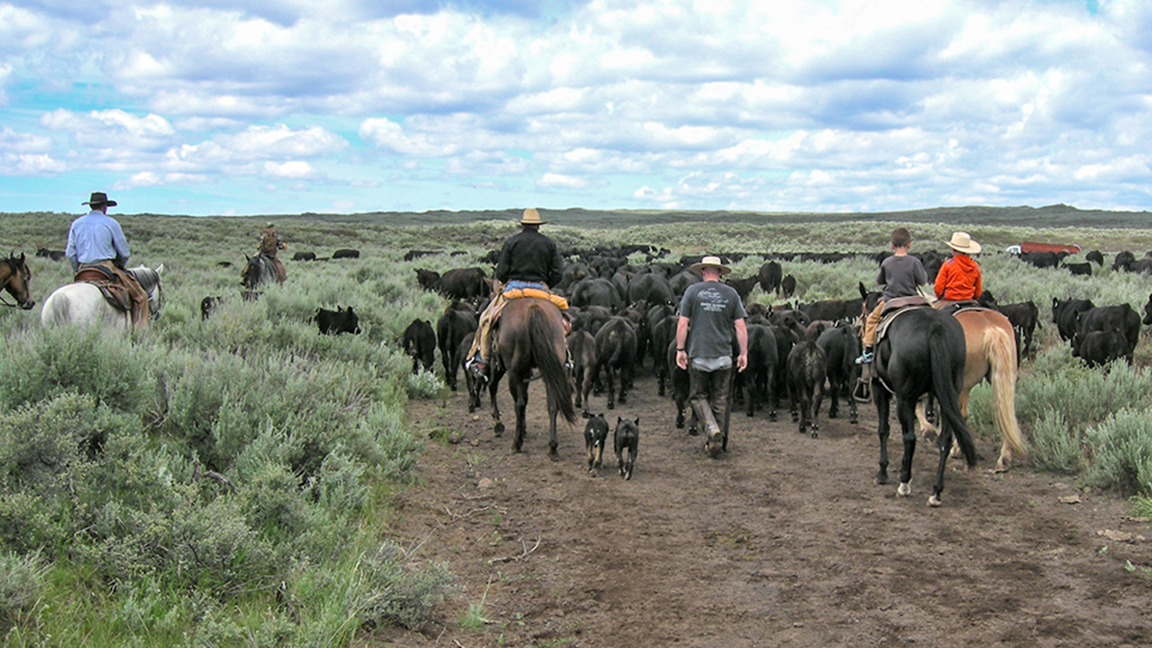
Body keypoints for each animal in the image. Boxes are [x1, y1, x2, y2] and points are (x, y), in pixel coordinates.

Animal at [483, 297, 576, 454]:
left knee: (517, 403)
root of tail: (533, 308)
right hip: (550, 369)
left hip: (513, 371)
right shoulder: (526, 371)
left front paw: (498, 422)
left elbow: (494, 386)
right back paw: (552, 447)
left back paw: (516, 443)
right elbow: (526, 398)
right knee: (552, 404)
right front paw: (523, 429)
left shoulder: (503, 365)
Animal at [866, 302, 976, 505]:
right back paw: (936, 492)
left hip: (904, 399)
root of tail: (936, 328)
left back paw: (904, 483)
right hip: (948, 395)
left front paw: (882, 473)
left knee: (910, 438)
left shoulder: (879, 388)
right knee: (945, 440)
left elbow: (883, 429)